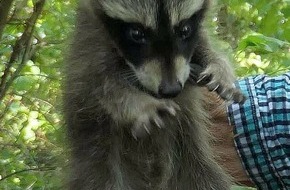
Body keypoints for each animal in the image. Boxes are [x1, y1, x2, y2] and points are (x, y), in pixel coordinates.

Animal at [63, 0, 245, 190]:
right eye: (136, 33)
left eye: (185, 29)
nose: (171, 89)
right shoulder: (90, 44)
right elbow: (102, 86)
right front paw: (142, 104)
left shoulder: (196, 36)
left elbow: (206, 49)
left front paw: (220, 68)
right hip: (99, 160)